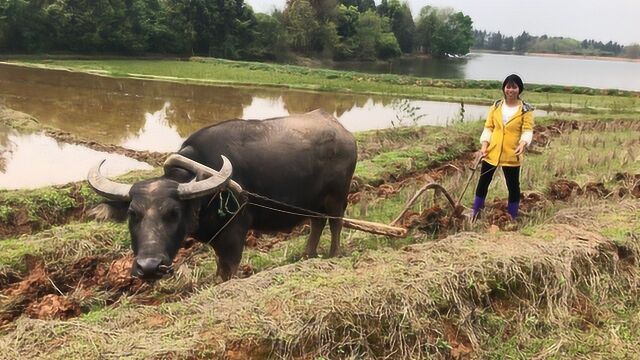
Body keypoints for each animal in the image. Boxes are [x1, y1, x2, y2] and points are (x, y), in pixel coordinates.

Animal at [87, 109, 358, 282]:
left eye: (173, 213)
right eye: (133, 214)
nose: (150, 267)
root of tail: (345, 133)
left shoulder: (234, 234)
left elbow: (228, 271)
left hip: (337, 197)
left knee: (335, 223)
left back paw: (333, 254)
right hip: (313, 202)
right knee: (317, 223)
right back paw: (307, 255)